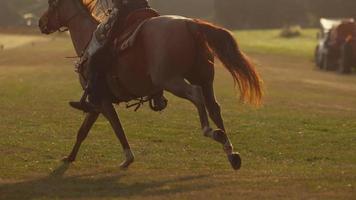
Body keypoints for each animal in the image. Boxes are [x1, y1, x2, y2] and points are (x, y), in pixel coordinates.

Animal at [39, 0, 262, 170]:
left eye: (51, 4)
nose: (41, 23)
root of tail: (189, 24)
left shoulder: (101, 101)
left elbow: (116, 128)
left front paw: (127, 159)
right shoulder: (97, 105)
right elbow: (83, 131)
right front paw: (70, 157)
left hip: (171, 80)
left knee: (196, 96)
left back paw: (210, 131)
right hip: (204, 78)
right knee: (214, 107)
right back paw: (231, 153)